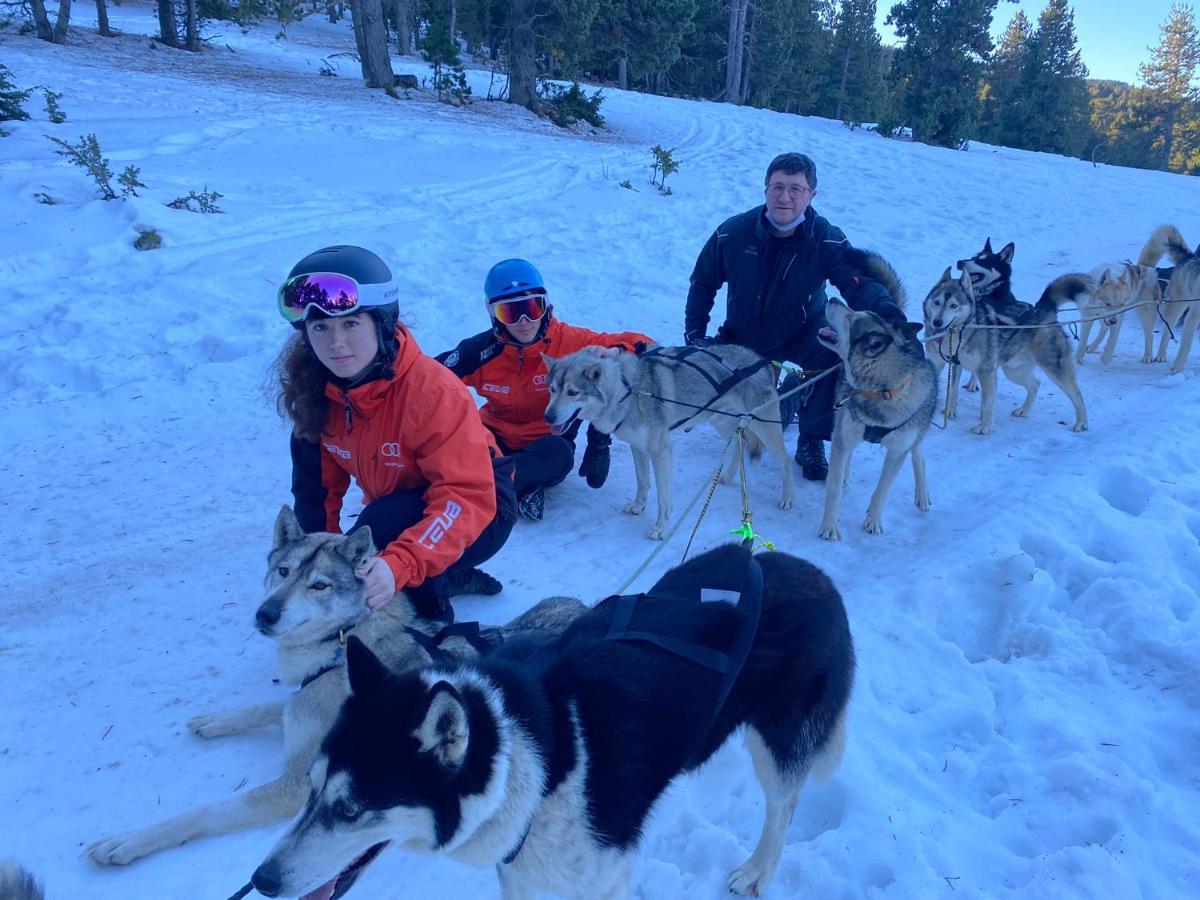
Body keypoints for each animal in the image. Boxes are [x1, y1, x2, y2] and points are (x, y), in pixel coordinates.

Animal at [84, 508, 580, 868]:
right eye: (283, 572)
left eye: (319, 585)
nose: (265, 614)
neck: (337, 651)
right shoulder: (298, 704)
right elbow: (263, 709)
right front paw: (215, 721)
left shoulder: (296, 786)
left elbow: (203, 812)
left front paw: (127, 842)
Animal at [248, 542, 849, 900]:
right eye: (311, 790)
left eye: (351, 809)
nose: (260, 879)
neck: (536, 764)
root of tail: (806, 568)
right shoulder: (522, 874)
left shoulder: (602, 881)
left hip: (777, 745)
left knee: (784, 806)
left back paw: (757, 871)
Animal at [542, 340, 787, 540]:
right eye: (552, 389)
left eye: (572, 392)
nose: (548, 417)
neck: (628, 391)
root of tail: (763, 361)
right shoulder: (638, 447)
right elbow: (643, 482)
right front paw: (638, 506)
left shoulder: (661, 451)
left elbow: (663, 497)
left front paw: (661, 529)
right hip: (723, 423)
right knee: (740, 442)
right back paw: (727, 476)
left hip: (766, 428)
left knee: (783, 459)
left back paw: (788, 498)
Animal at [816, 250, 936, 540]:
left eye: (851, 318)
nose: (833, 299)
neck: (882, 391)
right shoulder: (844, 432)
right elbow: (834, 488)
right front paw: (829, 526)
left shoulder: (897, 451)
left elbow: (882, 490)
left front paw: (873, 520)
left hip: (919, 427)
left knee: (918, 453)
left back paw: (922, 494)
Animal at [921, 270, 1094, 434]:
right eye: (937, 302)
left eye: (954, 306)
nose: (937, 322)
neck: (956, 334)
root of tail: (1043, 308)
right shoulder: (946, 364)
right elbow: (952, 389)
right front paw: (947, 411)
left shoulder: (986, 371)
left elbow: (987, 403)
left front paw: (985, 426)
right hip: (1014, 371)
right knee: (1035, 384)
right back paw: (1024, 409)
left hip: (1054, 368)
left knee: (1077, 394)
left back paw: (1082, 422)